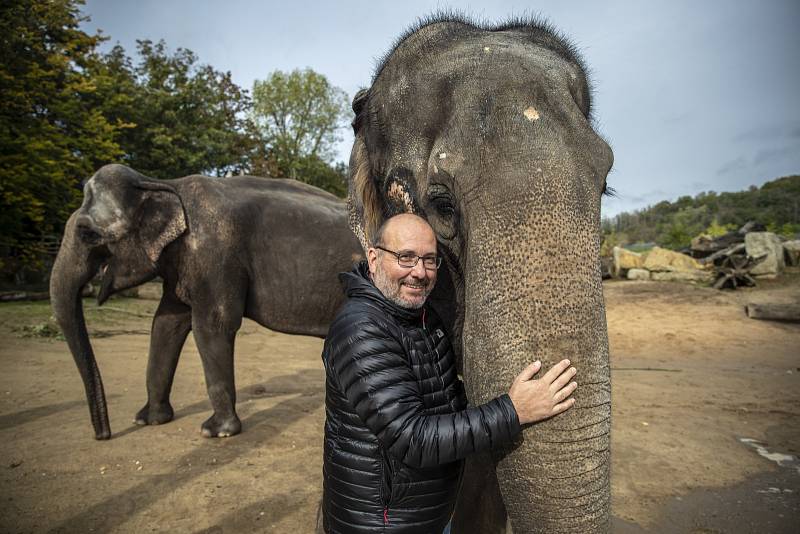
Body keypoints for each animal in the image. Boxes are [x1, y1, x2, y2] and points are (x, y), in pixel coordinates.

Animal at [50, 163, 362, 440]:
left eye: (87, 233)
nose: (103, 435)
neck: (162, 183)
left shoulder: (215, 254)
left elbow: (212, 325)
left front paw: (216, 432)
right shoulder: (182, 266)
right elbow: (164, 325)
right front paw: (147, 420)